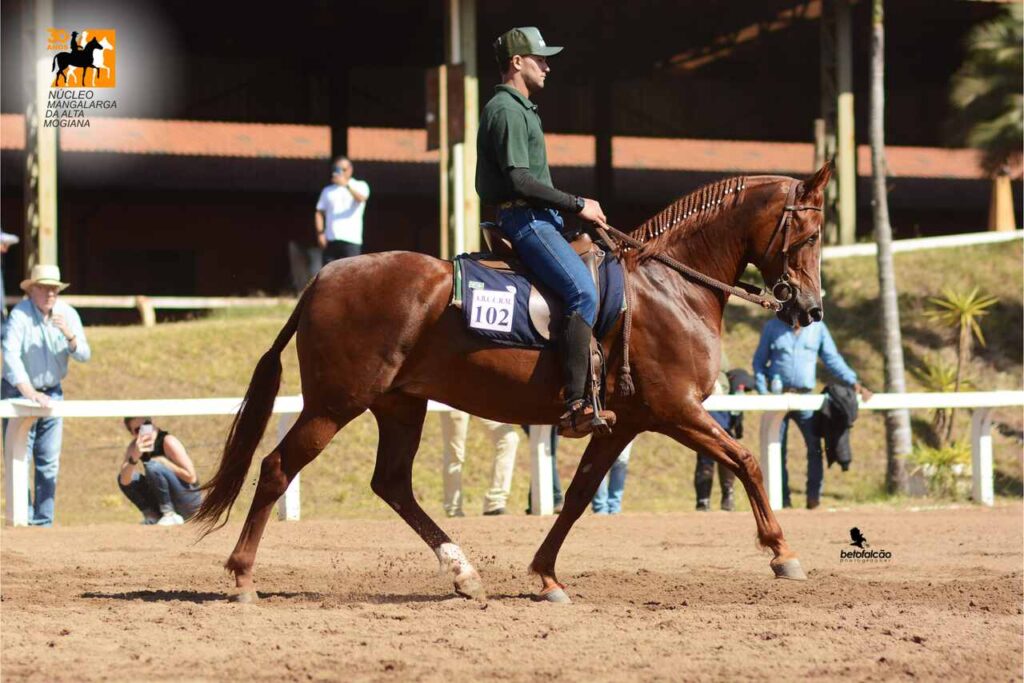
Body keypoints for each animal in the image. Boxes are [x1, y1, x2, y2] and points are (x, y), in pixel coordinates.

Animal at [194, 163, 832, 603]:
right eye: (809, 236)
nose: (810, 309)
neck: (669, 287)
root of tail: (324, 276)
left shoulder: (622, 423)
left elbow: (577, 496)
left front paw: (546, 575)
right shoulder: (676, 411)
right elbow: (747, 461)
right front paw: (782, 553)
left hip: (400, 405)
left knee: (392, 484)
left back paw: (463, 572)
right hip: (333, 405)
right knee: (278, 468)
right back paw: (243, 576)